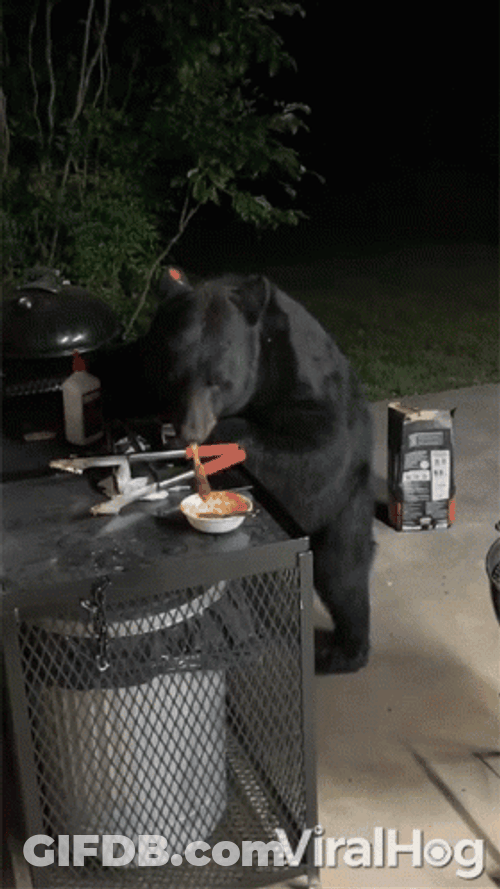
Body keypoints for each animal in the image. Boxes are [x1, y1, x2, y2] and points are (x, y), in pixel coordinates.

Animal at [134, 271, 374, 674]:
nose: (190, 430)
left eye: (218, 380)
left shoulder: (304, 378)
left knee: (343, 571)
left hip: (347, 502)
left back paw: (343, 652)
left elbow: (319, 450)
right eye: (172, 375)